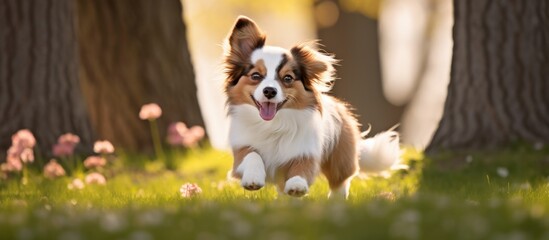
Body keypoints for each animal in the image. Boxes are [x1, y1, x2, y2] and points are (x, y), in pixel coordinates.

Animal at [223, 15, 398, 198]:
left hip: (340, 160)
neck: (273, 124)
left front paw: (297, 184)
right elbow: (251, 155)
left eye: (287, 78)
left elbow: (302, 167)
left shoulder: (306, 151)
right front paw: (253, 178)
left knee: (341, 181)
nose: (270, 91)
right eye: (256, 76)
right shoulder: (241, 149)